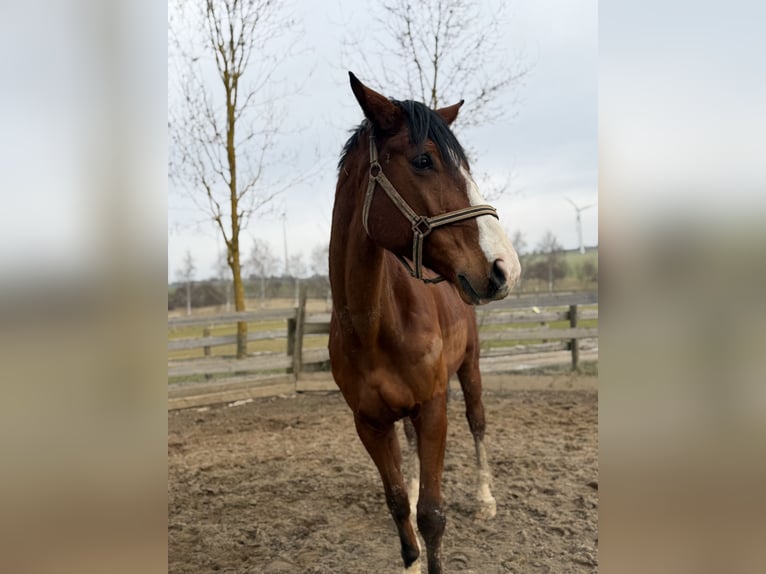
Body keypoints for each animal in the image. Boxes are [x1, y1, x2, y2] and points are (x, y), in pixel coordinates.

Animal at [328, 72, 521, 574]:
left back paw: (485, 500)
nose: (505, 267)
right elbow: (399, 505)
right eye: (422, 161)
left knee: (478, 423)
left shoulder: (434, 407)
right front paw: (410, 557)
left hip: (469, 370)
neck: (373, 326)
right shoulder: (369, 423)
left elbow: (433, 516)